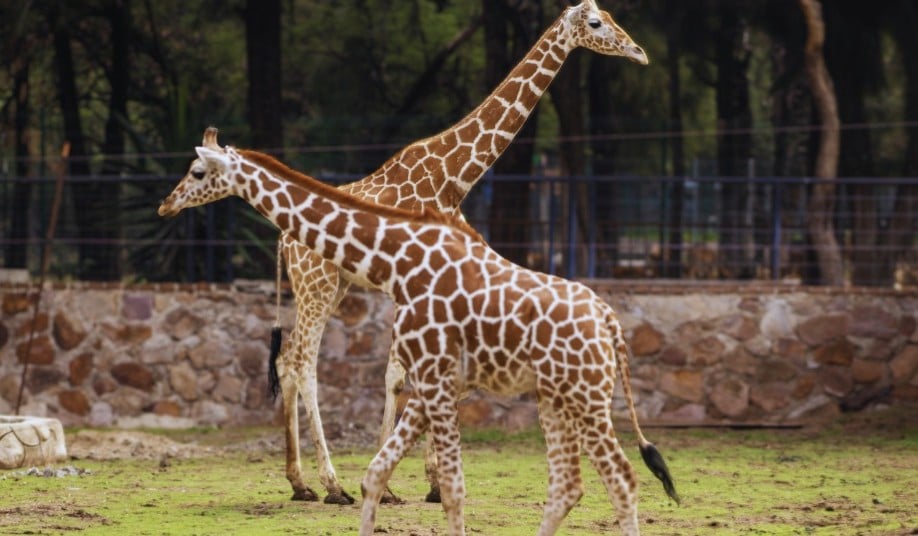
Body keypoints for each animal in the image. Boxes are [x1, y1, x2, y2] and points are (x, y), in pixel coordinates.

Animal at [158, 130, 679, 535]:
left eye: (198, 172)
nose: (165, 204)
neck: (394, 262)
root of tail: (610, 322)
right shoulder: (432, 382)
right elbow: (376, 474)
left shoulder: (435, 377)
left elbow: (452, 488)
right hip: (557, 398)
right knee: (569, 486)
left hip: (585, 398)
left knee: (621, 479)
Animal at [269, 0, 648, 504]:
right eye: (595, 23)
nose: (638, 51)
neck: (454, 176)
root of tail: (281, 239)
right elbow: (403, 374)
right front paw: (408, 480)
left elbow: (410, 372)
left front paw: (414, 481)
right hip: (317, 283)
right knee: (304, 364)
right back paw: (332, 484)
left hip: (328, 287)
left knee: (287, 361)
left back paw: (300, 482)